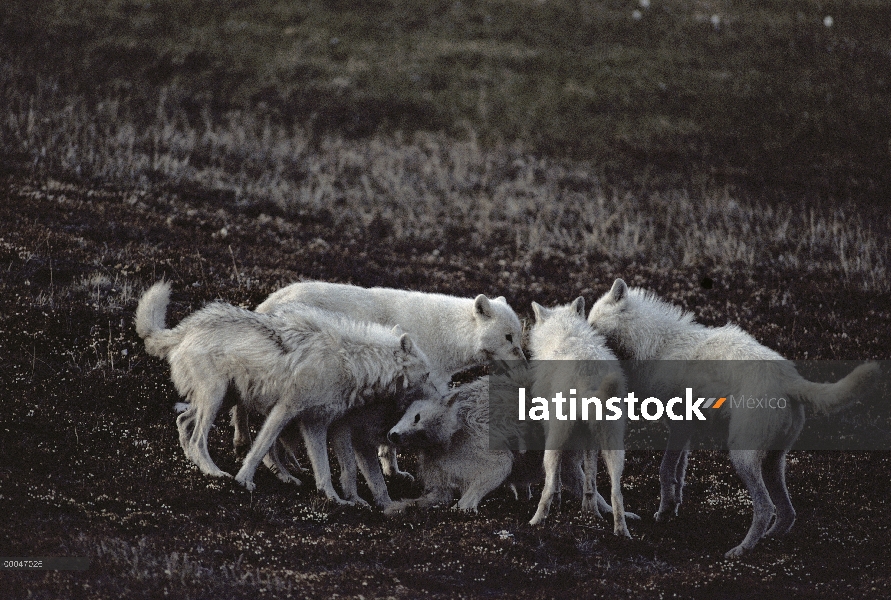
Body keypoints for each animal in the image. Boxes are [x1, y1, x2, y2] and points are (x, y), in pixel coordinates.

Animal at [135, 282, 440, 502]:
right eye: (427, 374)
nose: (441, 395)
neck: (352, 361)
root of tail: (186, 328)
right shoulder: (286, 410)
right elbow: (261, 448)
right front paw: (244, 480)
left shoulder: (315, 423)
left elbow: (323, 469)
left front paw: (333, 498)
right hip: (216, 398)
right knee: (199, 437)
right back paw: (214, 472)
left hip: (222, 398)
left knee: (183, 421)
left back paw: (196, 463)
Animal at [244, 278, 528, 482]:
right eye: (508, 337)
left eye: (518, 335)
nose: (526, 363)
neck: (448, 336)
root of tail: (265, 304)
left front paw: (394, 471)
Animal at [528, 298, 636, 536]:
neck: (566, 333)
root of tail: (588, 375)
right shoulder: (589, 439)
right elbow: (591, 480)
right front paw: (590, 511)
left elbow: (557, 480)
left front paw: (559, 506)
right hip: (613, 445)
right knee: (616, 492)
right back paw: (620, 531)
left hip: (554, 439)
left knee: (548, 486)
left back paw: (536, 521)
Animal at [584, 278, 880, 556]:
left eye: (593, 323)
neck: (657, 345)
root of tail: (789, 378)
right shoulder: (684, 432)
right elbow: (678, 476)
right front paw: (670, 510)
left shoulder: (679, 428)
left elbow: (665, 470)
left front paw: (666, 510)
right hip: (773, 462)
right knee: (786, 513)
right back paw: (768, 539)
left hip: (742, 456)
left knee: (765, 507)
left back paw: (741, 550)